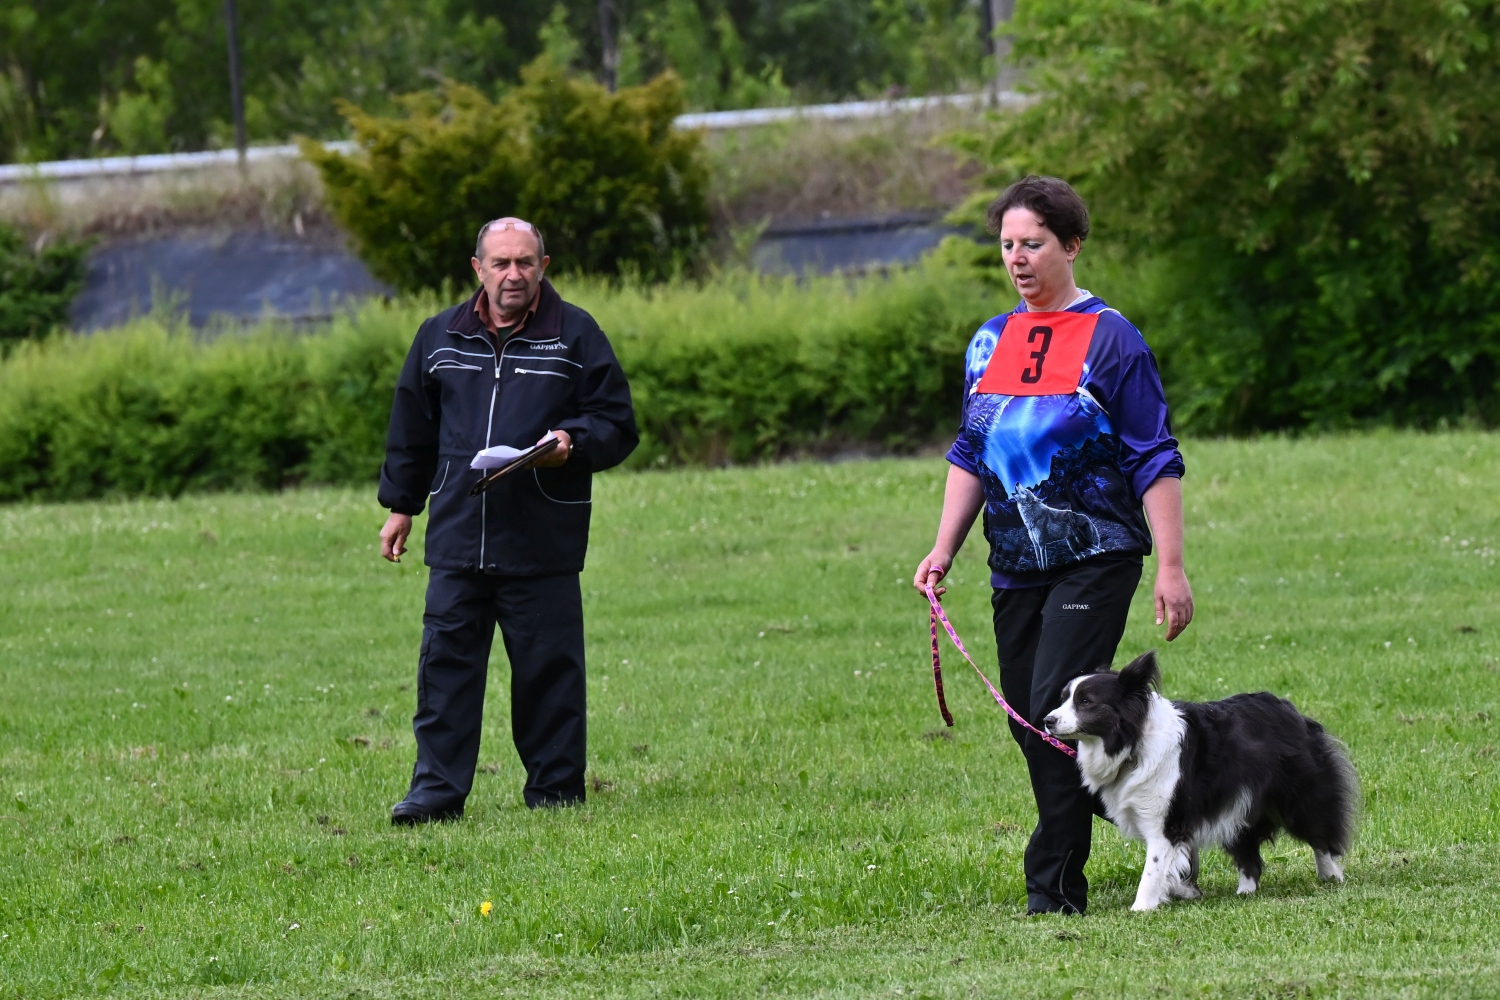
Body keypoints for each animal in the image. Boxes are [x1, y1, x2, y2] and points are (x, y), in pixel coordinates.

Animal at [1044, 653, 1362, 911]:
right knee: (1247, 847)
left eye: (1086, 701)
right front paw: (1184, 889)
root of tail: (1291, 710)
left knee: (1319, 832)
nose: (1047, 721)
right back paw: (1245, 891)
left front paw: (1141, 908)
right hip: (1240, 802)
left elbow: (1154, 867)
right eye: (1063, 698)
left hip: (1298, 794)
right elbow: (1173, 862)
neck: (1133, 742)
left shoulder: (1166, 819)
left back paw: (1330, 874)